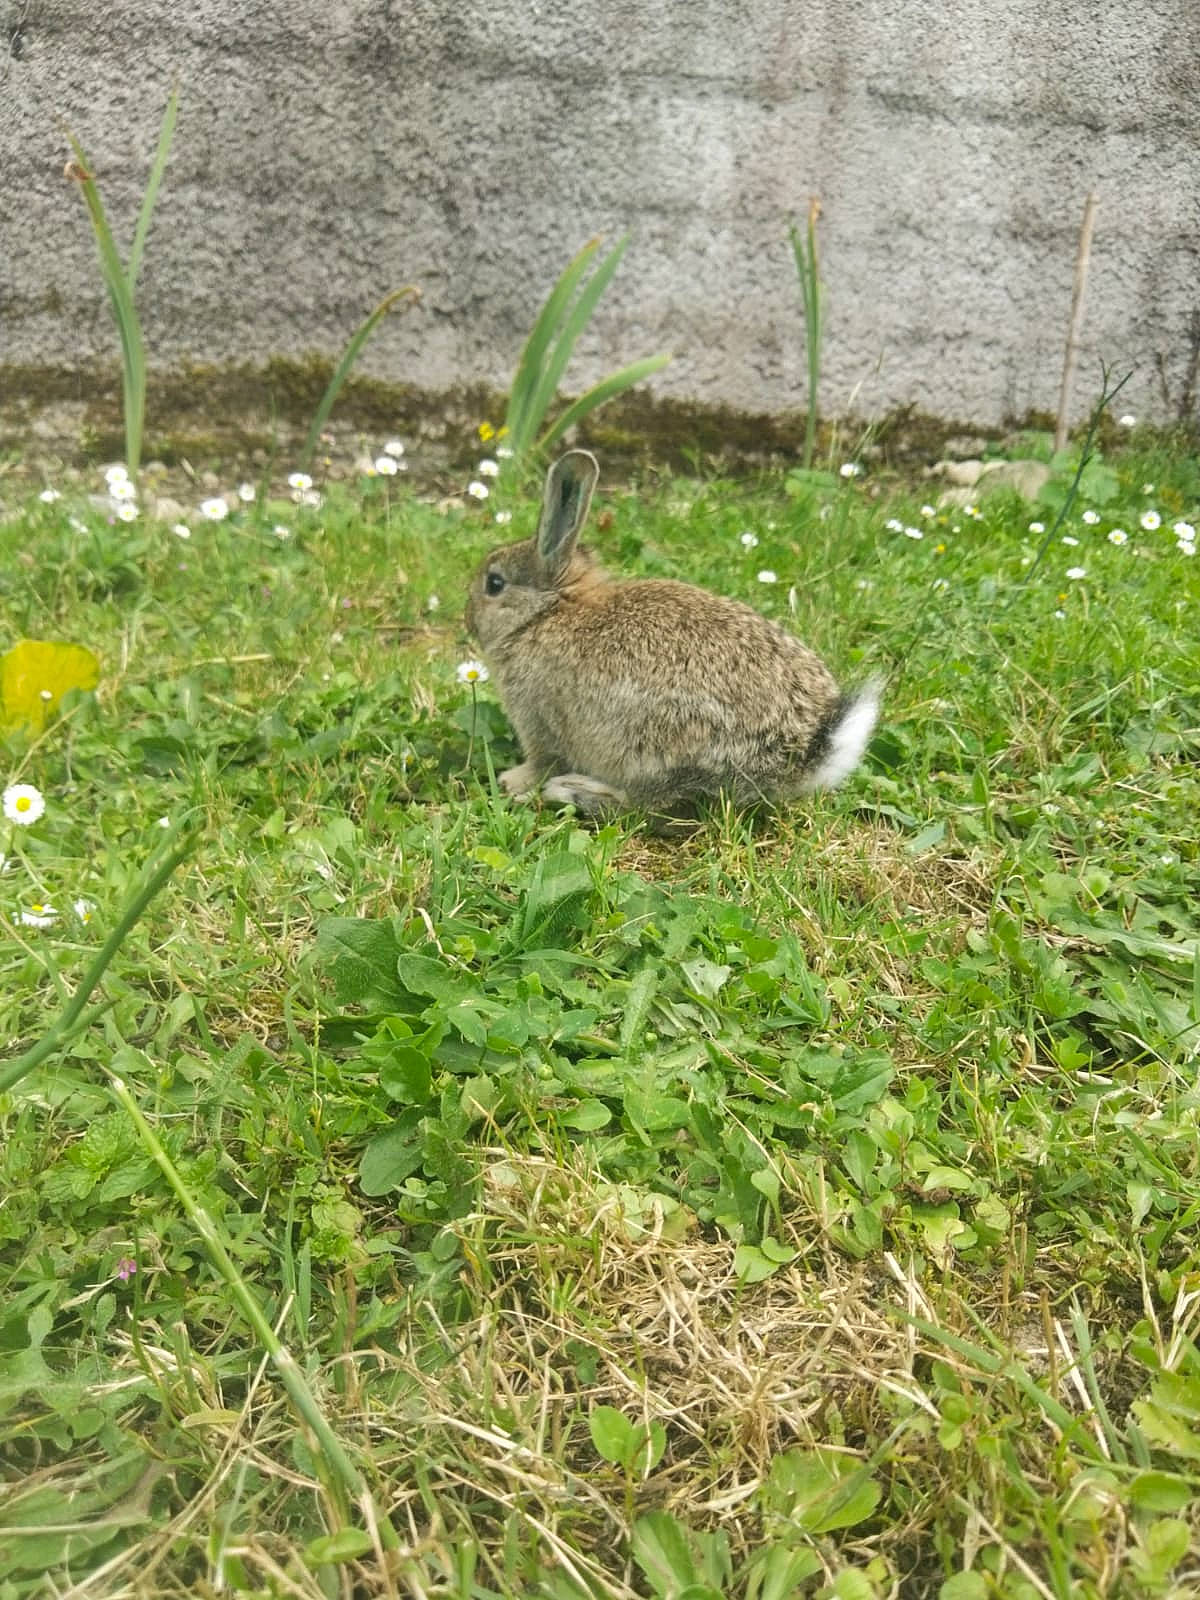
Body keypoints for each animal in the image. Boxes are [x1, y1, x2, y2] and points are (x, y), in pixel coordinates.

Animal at [464, 449, 880, 819]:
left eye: (494, 583)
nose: (468, 619)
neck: (545, 613)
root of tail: (804, 753)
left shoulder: (539, 721)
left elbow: (543, 760)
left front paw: (513, 782)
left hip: (655, 749)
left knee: (647, 806)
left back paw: (571, 791)